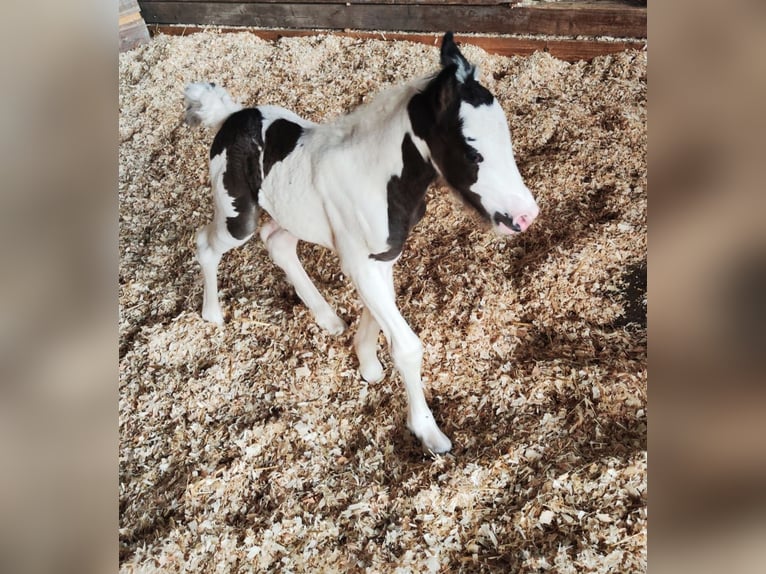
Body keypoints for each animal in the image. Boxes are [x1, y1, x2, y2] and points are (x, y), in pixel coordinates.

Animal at [184, 33, 540, 454]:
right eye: (472, 152)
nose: (526, 215)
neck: (377, 175)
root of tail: (232, 116)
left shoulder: (382, 254)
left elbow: (378, 311)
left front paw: (367, 365)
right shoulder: (358, 261)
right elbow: (406, 345)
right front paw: (427, 431)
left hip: (294, 211)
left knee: (277, 242)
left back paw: (329, 319)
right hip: (237, 216)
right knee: (207, 244)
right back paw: (212, 314)